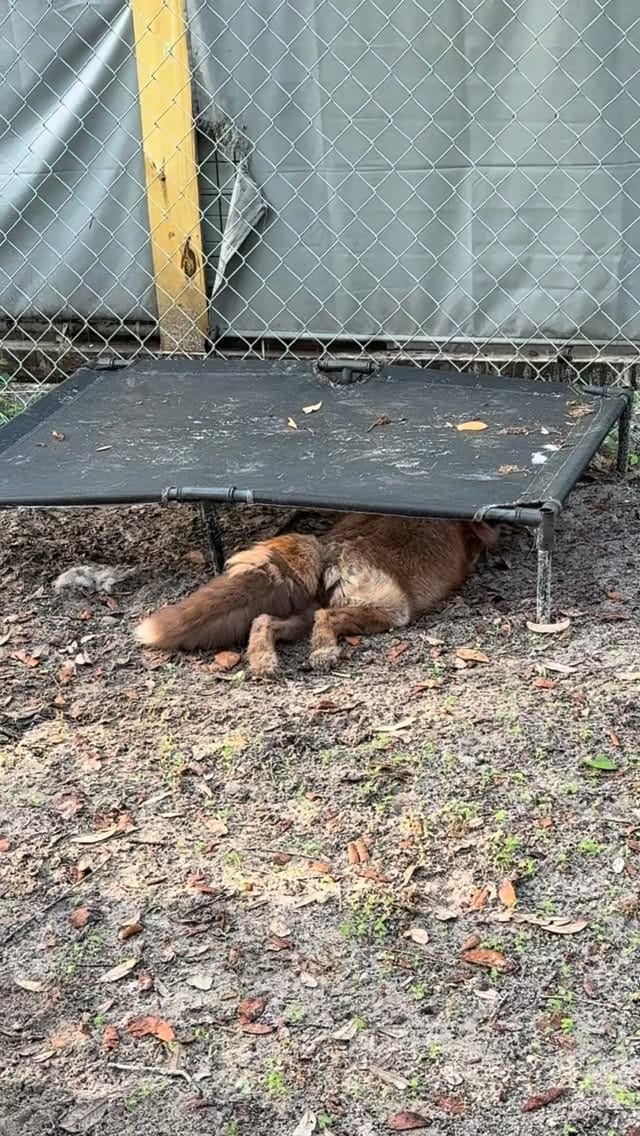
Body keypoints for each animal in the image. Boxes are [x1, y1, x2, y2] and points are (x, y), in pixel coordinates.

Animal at [135, 514, 498, 675]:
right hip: (391, 610)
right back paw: (324, 652)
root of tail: (325, 548)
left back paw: (263, 660)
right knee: (326, 618)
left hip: (301, 616)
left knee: (262, 619)